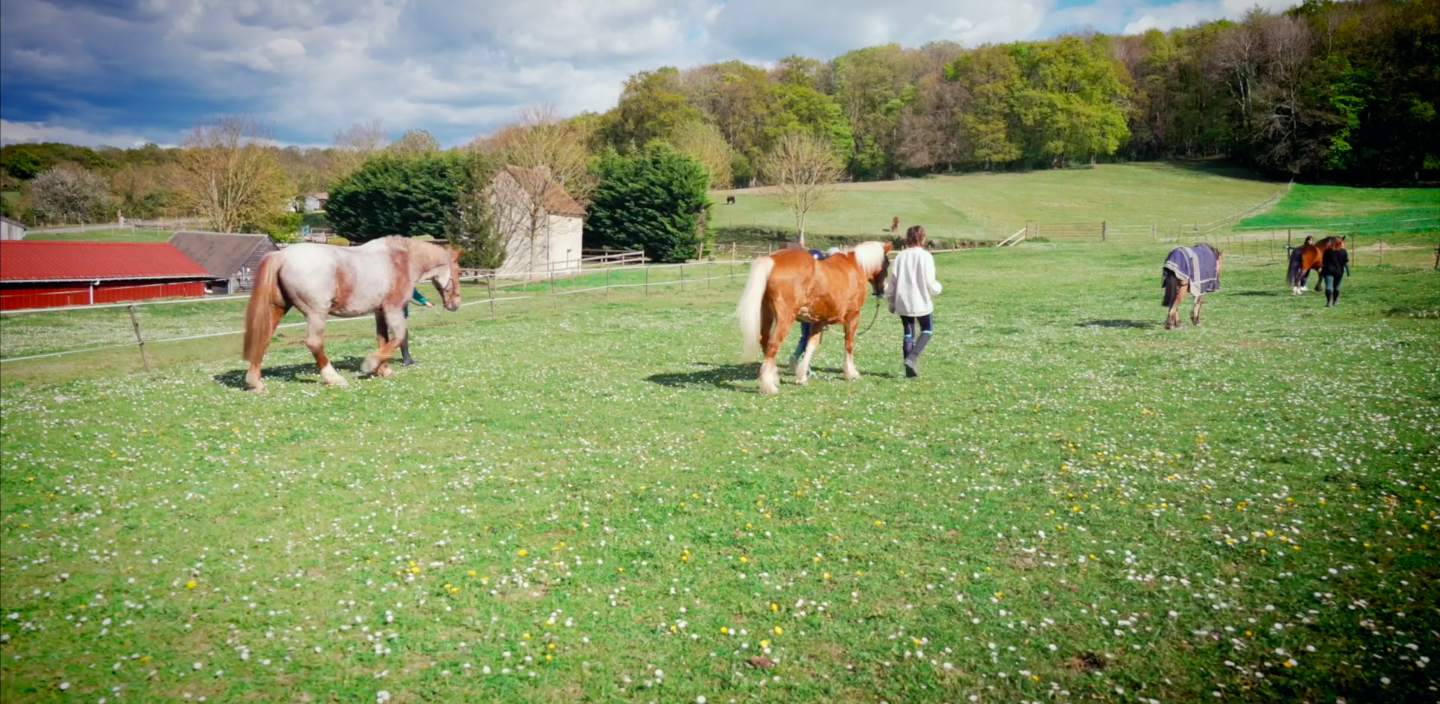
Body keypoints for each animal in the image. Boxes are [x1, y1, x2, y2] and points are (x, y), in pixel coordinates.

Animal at [241, 237, 461, 392]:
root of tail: (282, 255)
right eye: (458, 271)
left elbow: (383, 339)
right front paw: (370, 365)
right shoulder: (394, 310)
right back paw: (333, 378)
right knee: (314, 343)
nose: (456, 304)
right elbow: (398, 337)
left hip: (277, 308)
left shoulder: (379, 312)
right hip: (316, 314)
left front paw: (383, 369)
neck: (401, 261)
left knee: (263, 339)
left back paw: (255, 383)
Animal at [736, 241, 891, 395]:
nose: (883, 290)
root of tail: (772, 260)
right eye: (888, 264)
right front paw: (851, 373)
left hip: (766, 313)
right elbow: (849, 344)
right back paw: (769, 386)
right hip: (785, 318)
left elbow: (811, 345)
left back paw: (774, 376)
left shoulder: (818, 321)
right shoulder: (853, 317)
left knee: (764, 340)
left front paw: (801, 377)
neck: (855, 265)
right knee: (773, 344)